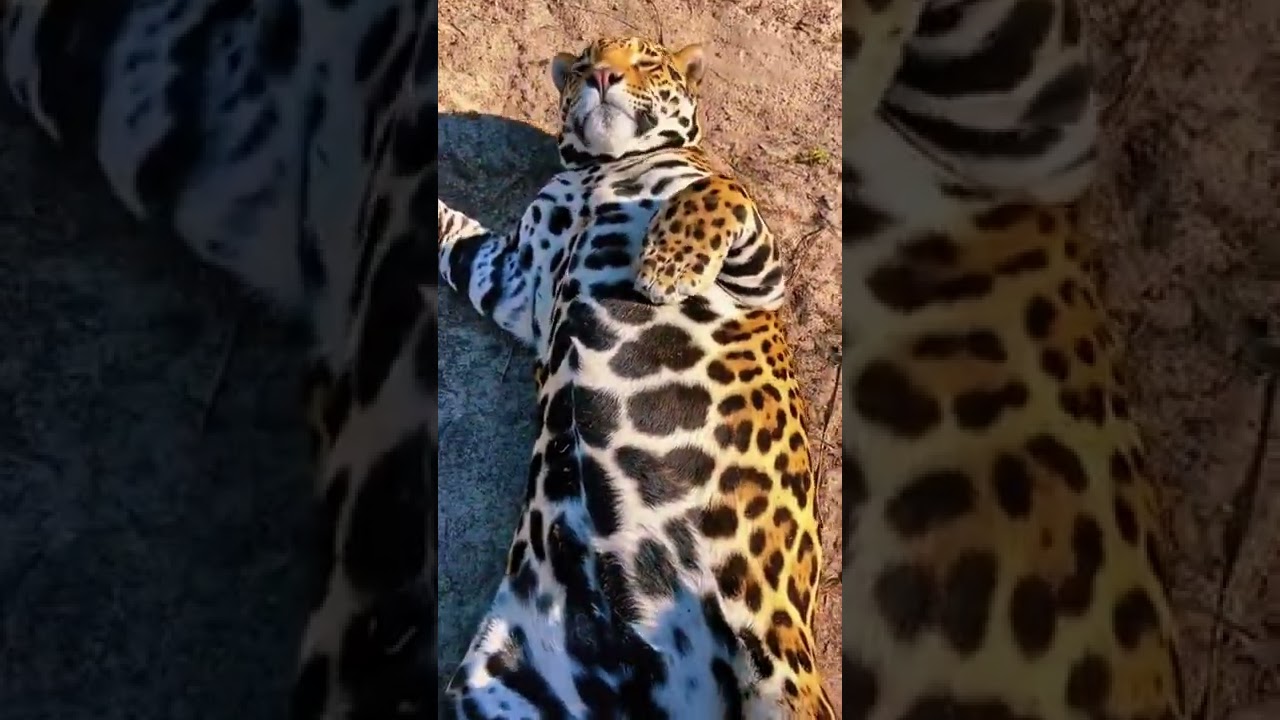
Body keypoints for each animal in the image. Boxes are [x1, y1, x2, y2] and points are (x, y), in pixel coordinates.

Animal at [438, 36, 835, 718]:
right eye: (579, 68)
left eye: (648, 62)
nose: (602, 76)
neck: (602, 170)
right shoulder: (510, 279)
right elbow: (454, 236)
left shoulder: (758, 273)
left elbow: (717, 190)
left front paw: (665, 264)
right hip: (499, 686)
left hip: (783, 678)